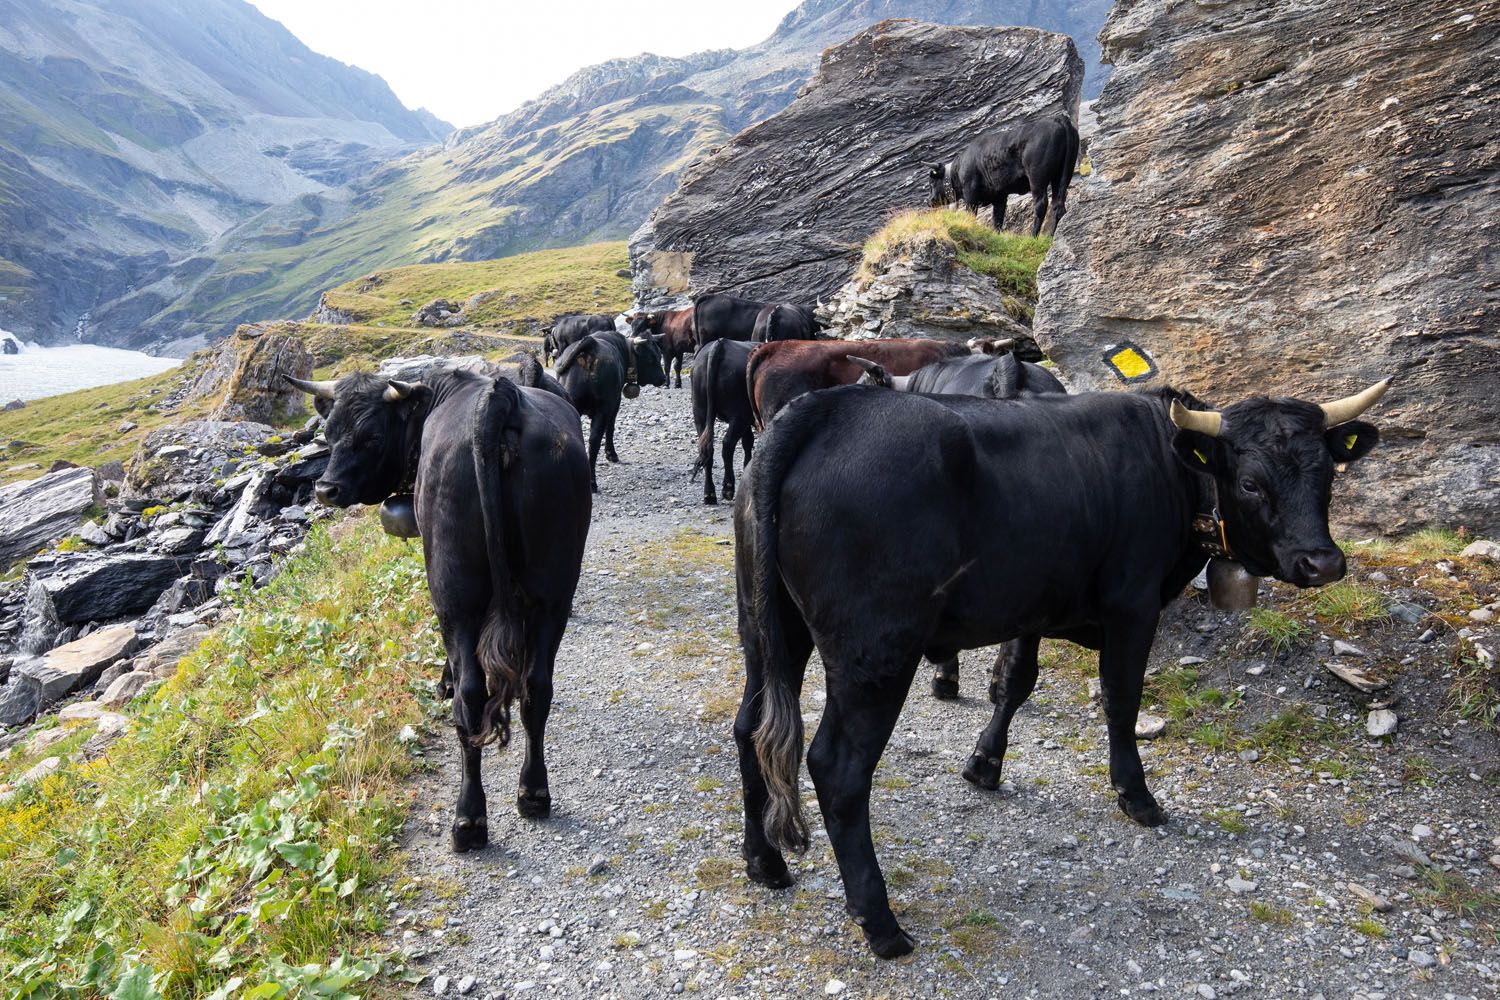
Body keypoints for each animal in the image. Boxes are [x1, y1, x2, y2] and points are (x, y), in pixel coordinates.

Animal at [286, 367, 591, 851]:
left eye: (372, 437)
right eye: (329, 433)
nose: (326, 489)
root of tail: (499, 398)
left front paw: (443, 680)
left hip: (454, 591)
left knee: (471, 696)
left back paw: (469, 819)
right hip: (555, 587)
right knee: (536, 687)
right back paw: (534, 792)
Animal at [555, 329, 666, 491]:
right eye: (652, 356)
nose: (663, 379)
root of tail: (590, 345)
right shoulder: (614, 402)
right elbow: (611, 427)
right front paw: (611, 454)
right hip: (602, 409)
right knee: (594, 441)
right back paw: (592, 482)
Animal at [693, 340, 762, 503]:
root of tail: (721, 343)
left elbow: (747, 441)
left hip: (700, 412)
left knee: (707, 449)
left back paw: (709, 494)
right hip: (738, 415)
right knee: (727, 444)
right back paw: (728, 488)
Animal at [924, 115, 1080, 236]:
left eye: (932, 182)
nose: (929, 200)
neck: (957, 169)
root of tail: (1058, 119)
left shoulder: (970, 196)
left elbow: (972, 215)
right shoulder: (999, 197)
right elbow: (997, 221)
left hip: (1037, 179)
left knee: (1041, 204)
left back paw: (1033, 236)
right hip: (1061, 176)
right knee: (1058, 205)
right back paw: (1050, 235)